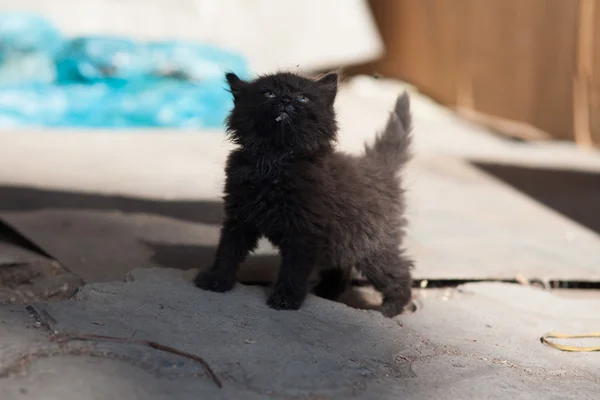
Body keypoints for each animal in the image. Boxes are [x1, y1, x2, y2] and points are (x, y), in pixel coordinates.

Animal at [196, 71, 412, 316]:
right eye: (269, 93)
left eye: (303, 98)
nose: (286, 100)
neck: (275, 160)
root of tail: (378, 168)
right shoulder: (239, 216)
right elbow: (228, 250)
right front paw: (217, 279)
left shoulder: (306, 229)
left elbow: (294, 268)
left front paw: (286, 299)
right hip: (342, 242)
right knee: (341, 268)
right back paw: (326, 293)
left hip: (369, 245)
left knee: (399, 271)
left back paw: (390, 309)